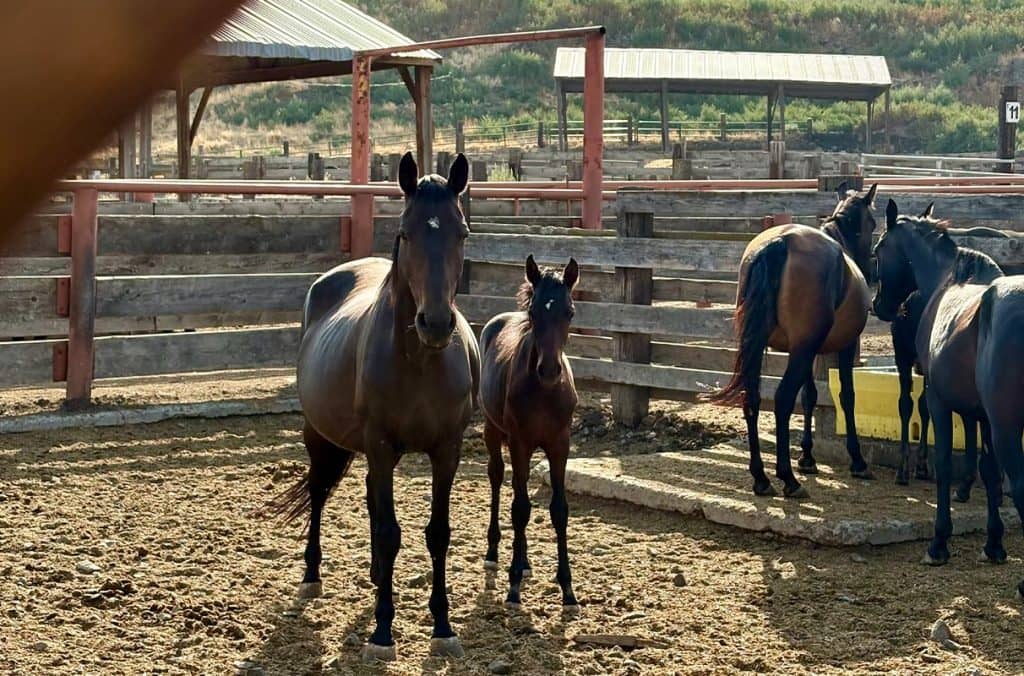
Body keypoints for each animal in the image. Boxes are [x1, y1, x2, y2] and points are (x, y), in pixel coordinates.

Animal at [269, 152, 479, 661]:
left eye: (461, 232)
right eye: (406, 232)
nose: (436, 323)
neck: (420, 361)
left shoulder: (447, 451)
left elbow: (437, 533)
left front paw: (442, 626)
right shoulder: (381, 447)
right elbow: (389, 533)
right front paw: (383, 631)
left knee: (366, 501)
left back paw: (374, 575)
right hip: (319, 437)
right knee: (319, 492)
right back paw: (311, 575)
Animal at [479, 255, 581, 613]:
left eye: (569, 312)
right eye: (534, 312)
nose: (549, 370)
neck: (543, 392)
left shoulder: (560, 444)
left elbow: (558, 510)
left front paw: (568, 591)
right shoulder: (520, 441)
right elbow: (520, 509)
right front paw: (513, 588)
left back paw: (523, 562)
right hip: (493, 431)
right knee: (498, 479)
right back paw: (496, 554)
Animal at [712, 183, 878, 498]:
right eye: (873, 223)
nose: (872, 268)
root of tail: (779, 241)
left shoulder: (807, 350)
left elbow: (809, 395)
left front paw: (808, 457)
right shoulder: (842, 346)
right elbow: (846, 396)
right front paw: (857, 460)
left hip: (765, 346)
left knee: (752, 397)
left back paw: (761, 478)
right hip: (802, 350)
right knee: (782, 399)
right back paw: (787, 478)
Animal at [872, 200, 1024, 600]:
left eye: (878, 249)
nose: (880, 305)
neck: (946, 281)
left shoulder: (939, 401)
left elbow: (942, 463)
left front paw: (938, 543)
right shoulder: (981, 418)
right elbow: (988, 472)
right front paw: (994, 544)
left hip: (1008, 430)